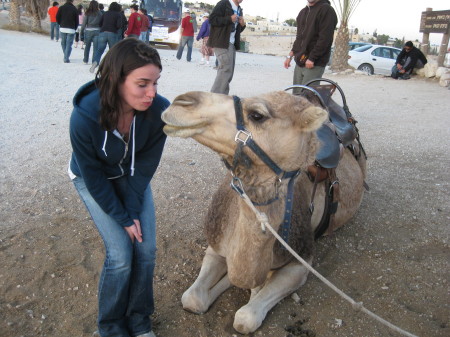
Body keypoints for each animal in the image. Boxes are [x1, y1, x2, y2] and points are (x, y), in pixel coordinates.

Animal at [162, 87, 366, 334]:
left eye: (257, 115)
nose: (181, 101)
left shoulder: (301, 262)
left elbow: (245, 317)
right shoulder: (216, 245)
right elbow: (192, 298)